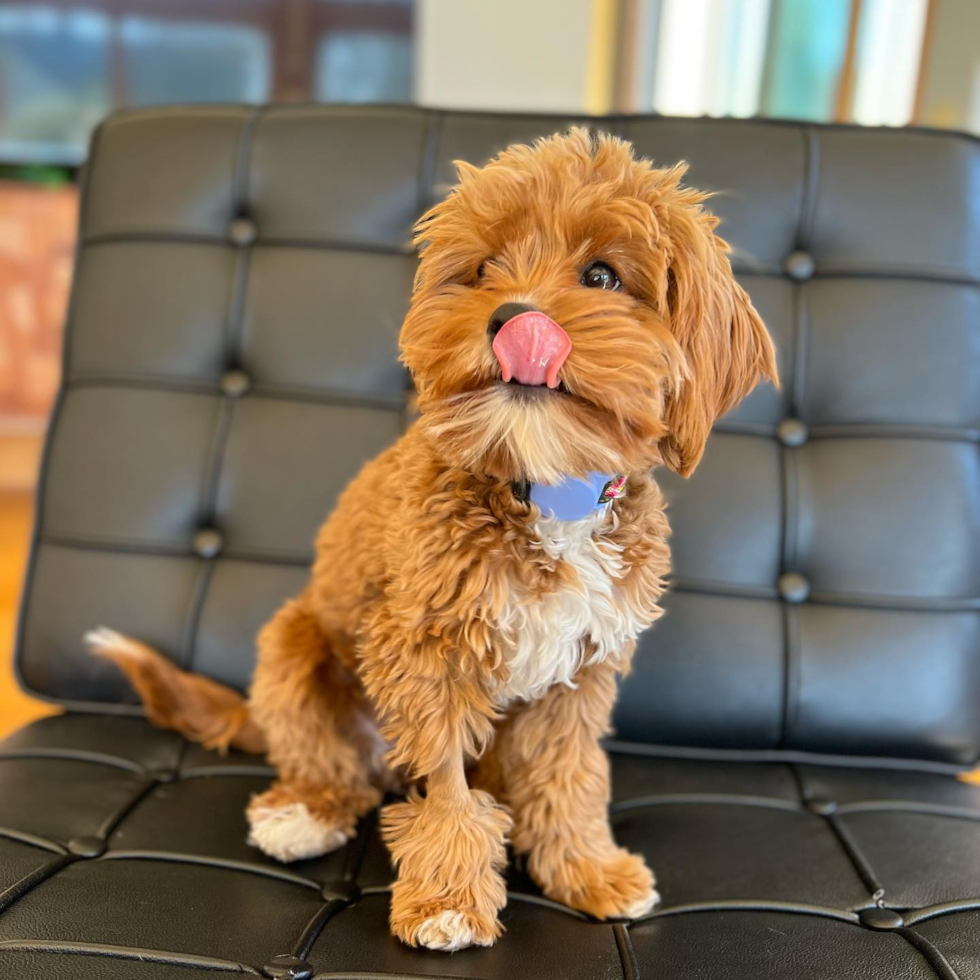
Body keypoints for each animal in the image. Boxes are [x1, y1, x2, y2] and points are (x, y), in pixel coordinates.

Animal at [88, 126, 776, 952]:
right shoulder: (423, 647)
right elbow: (446, 783)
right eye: (481, 271)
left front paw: (585, 867)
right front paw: (447, 901)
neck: (542, 484)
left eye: (602, 275)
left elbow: (570, 774)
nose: (510, 318)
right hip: (293, 648)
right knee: (329, 764)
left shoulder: (582, 670)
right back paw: (303, 811)